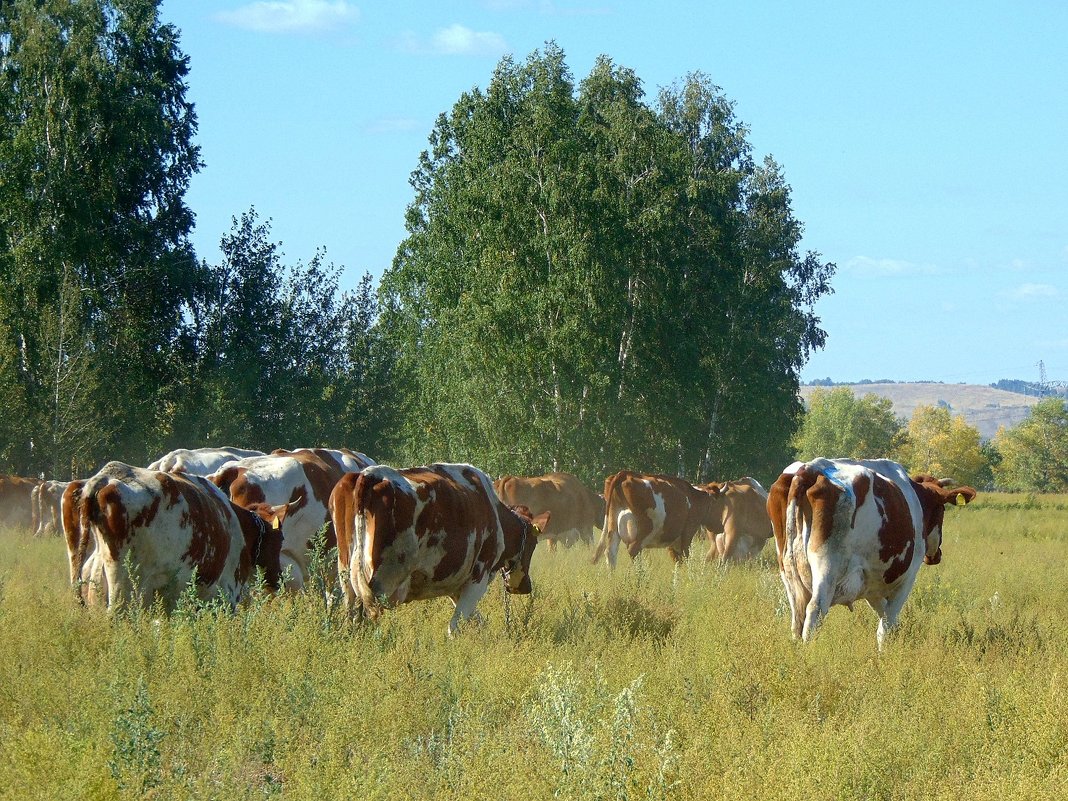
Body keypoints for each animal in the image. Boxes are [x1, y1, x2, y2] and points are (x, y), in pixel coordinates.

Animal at [331, 467, 551, 636]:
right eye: (533, 544)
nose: (525, 586)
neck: (494, 512)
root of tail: (368, 475)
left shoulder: (456, 584)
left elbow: (478, 621)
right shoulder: (478, 577)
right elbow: (455, 627)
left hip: (348, 579)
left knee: (352, 616)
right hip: (381, 584)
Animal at [768, 461, 978, 649]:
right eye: (942, 510)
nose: (936, 555)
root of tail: (810, 468)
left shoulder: (872, 586)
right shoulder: (907, 578)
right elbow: (886, 625)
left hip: (788, 571)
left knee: (798, 617)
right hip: (826, 568)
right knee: (815, 610)